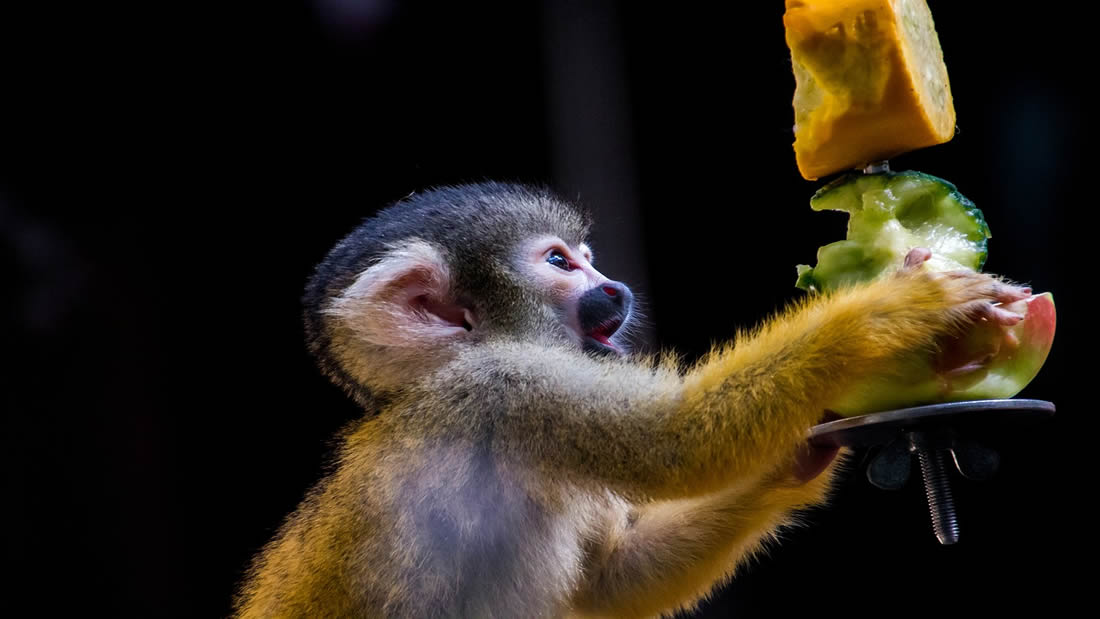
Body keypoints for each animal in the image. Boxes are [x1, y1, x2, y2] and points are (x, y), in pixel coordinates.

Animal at [236, 181, 1034, 615]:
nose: (614, 288)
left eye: (588, 259)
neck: (433, 380)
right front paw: (887, 313)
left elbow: (611, 584)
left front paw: (804, 457)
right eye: (562, 263)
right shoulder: (503, 390)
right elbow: (677, 445)